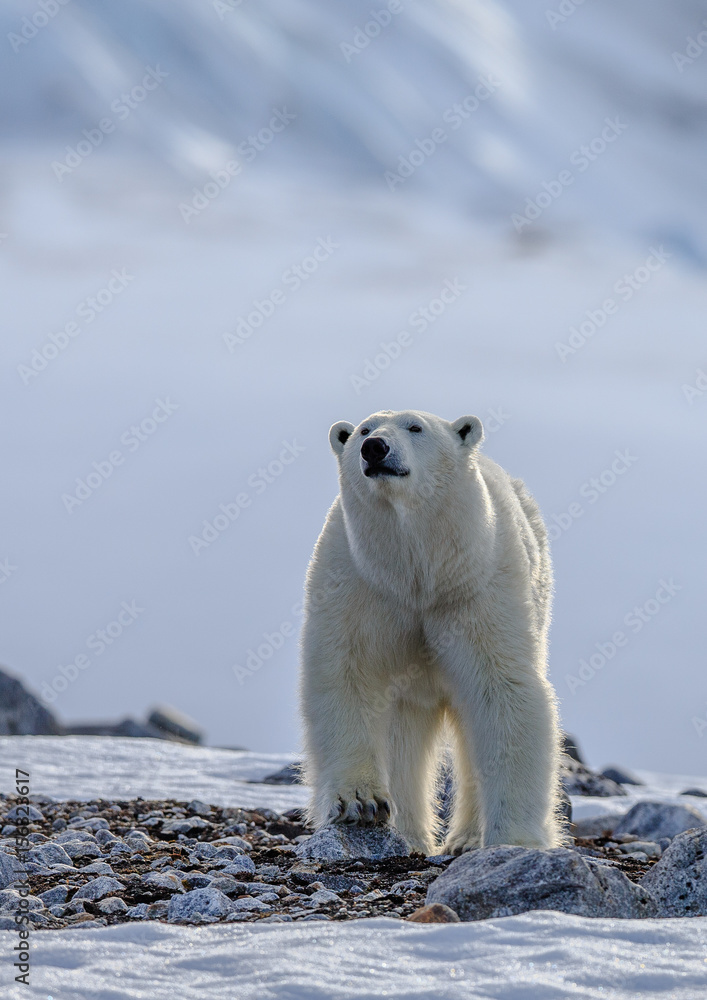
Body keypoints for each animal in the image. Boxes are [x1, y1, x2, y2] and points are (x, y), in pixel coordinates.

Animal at [299, 409, 562, 855]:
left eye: (415, 427)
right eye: (365, 429)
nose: (375, 448)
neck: (419, 574)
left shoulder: (476, 589)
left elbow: (503, 690)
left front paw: (515, 840)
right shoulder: (359, 582)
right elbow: (346, 673)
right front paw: (360, 801)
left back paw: (465, 839)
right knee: (405, 740)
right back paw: (410, 834)